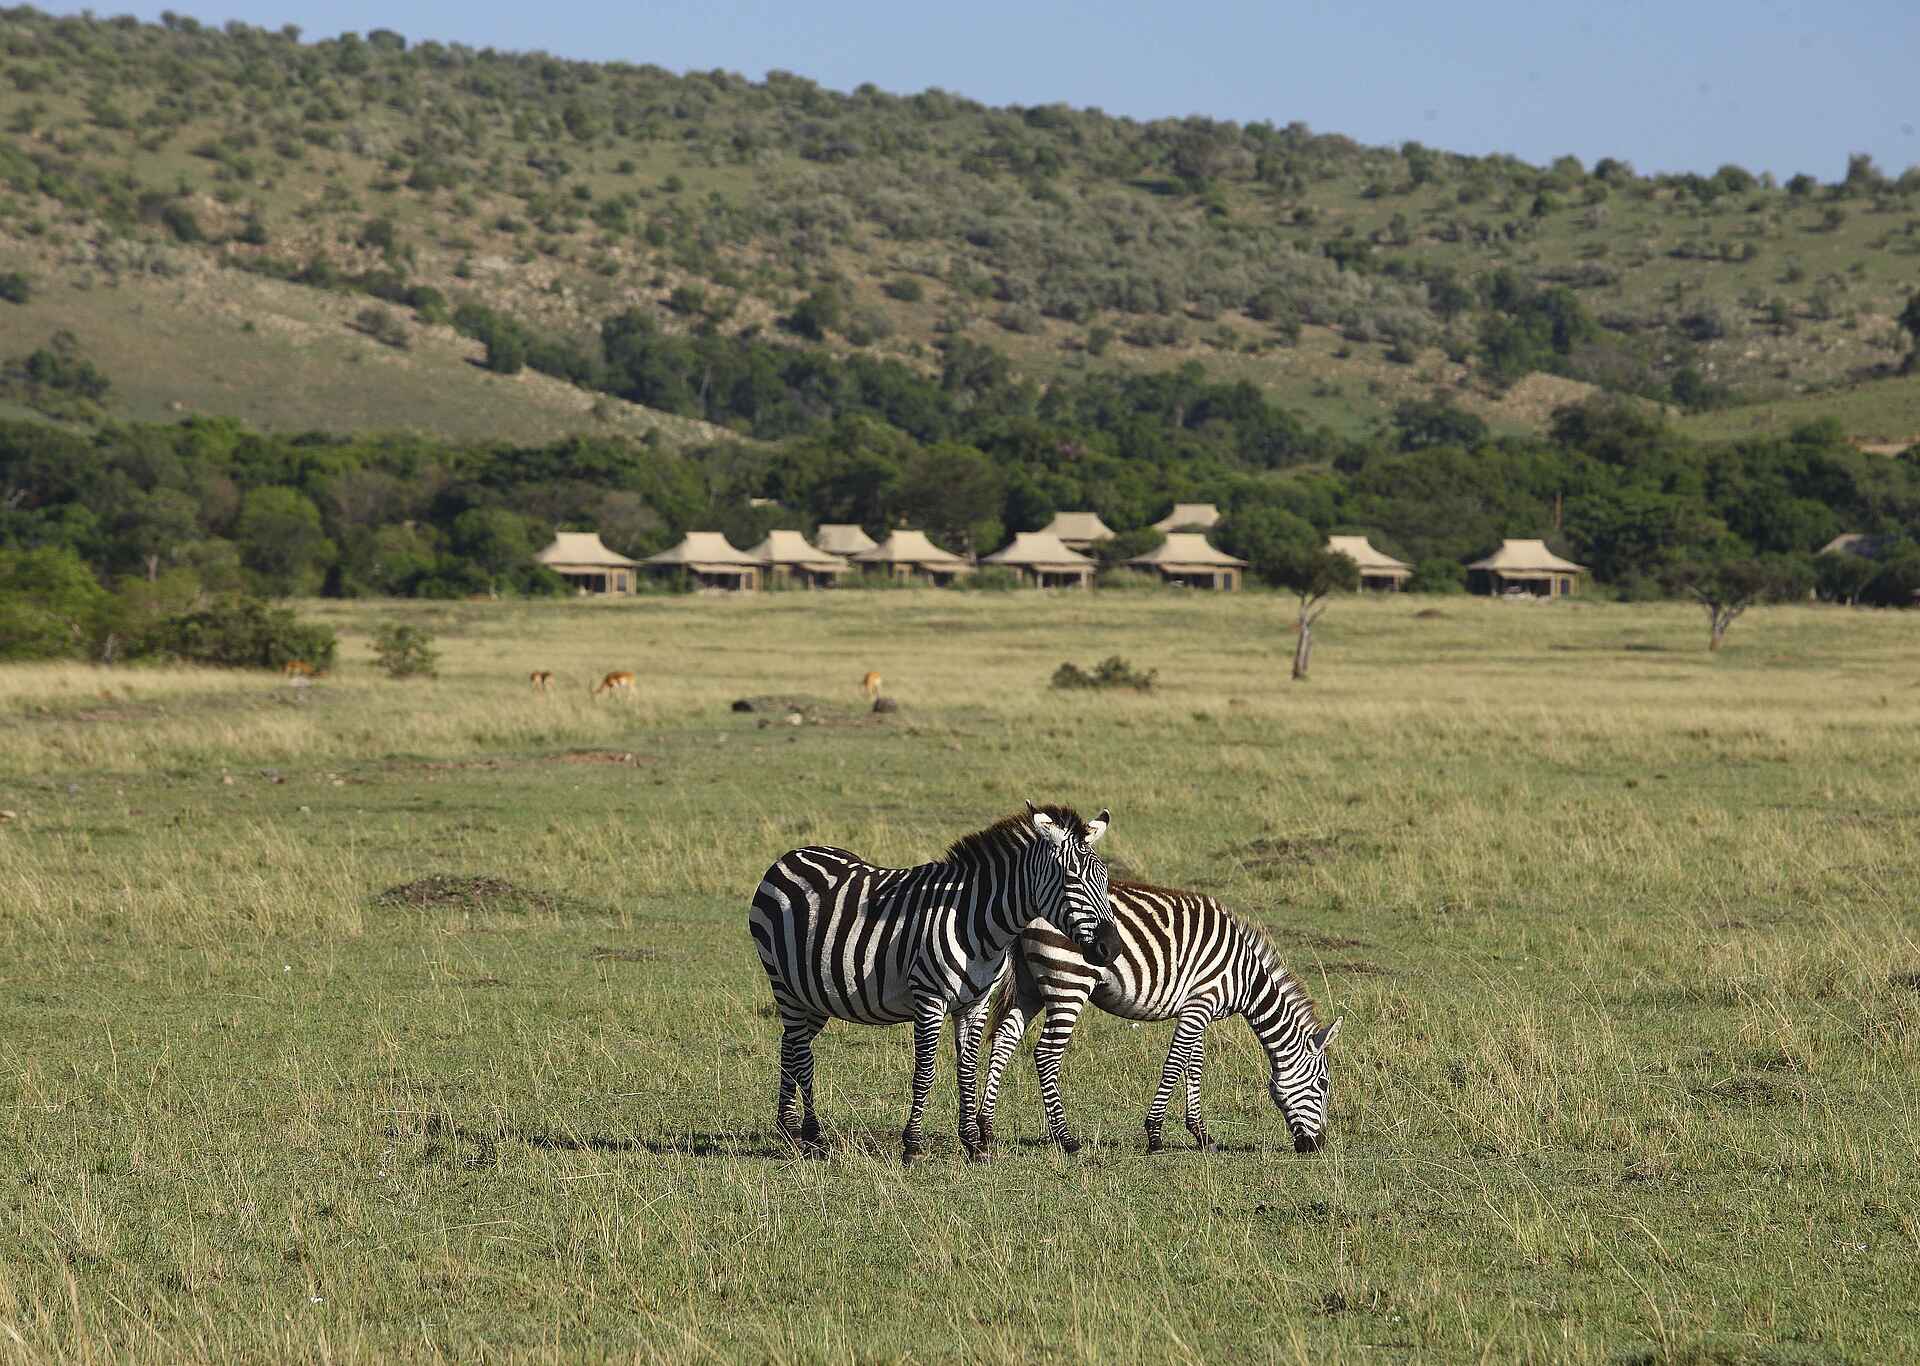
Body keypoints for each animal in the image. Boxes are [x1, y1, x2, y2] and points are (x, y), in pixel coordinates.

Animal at [747, 802, 1122, 1163]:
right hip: (785, 985)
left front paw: (974, 1145)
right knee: (801, 1053)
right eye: (1071, 879)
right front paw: (912, 1146)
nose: (1113, 947)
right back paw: (811, 1136)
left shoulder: (976, 1003)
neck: (979, 926)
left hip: (815, 993)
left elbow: (967, 1069)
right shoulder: (929, 999)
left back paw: (789, 1129)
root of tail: (791, 855)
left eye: (1104, 879)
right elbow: (925, 1072)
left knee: (790, 1045)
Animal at [972, 882, 1342, 1156]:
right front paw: (1154, 1136)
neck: (1245, 977)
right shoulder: (1200, 1003)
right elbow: (1175, 1063)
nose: (1318, 1146)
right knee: (1046, 1054)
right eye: (1323, 1085)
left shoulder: (1196, 1008)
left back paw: (986, 1128)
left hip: (1029, 985)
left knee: (1004, 1038)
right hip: (1069, 981)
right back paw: (1065, 1139)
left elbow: (1194, 1064)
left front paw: (1201, 1134)